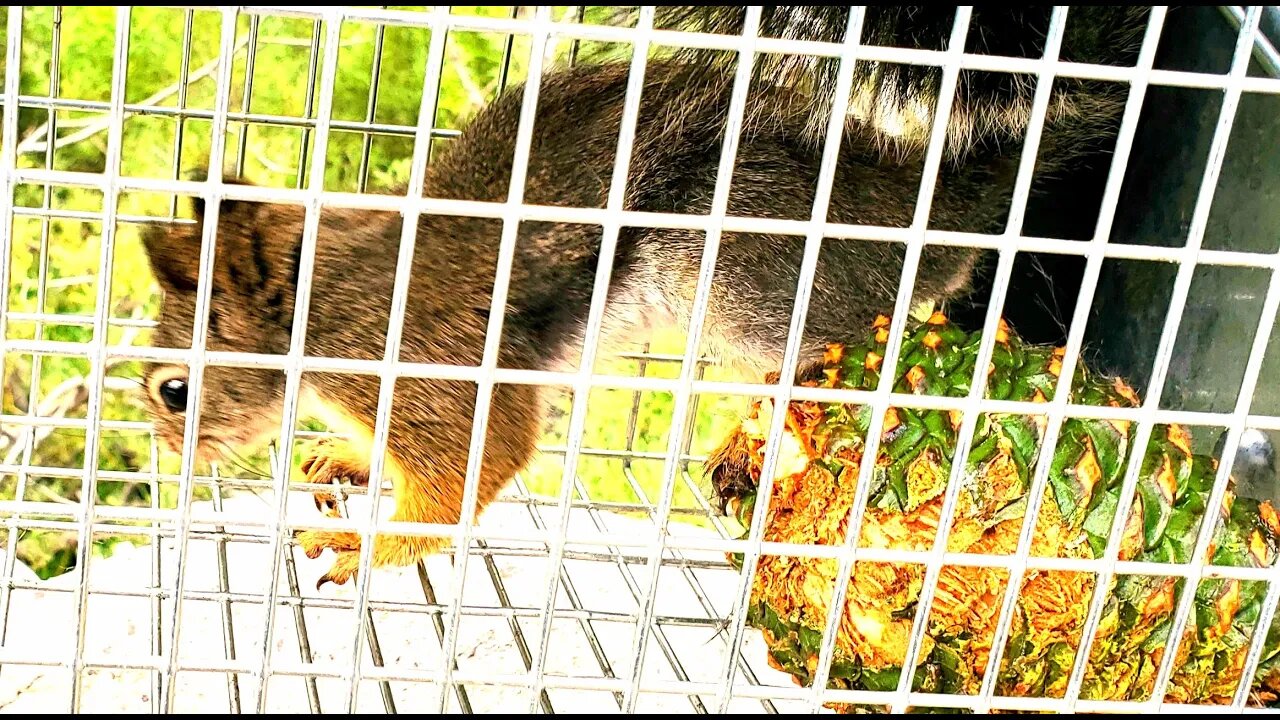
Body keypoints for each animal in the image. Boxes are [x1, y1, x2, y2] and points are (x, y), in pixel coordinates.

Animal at [137, 5, 1152, 586]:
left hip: (748, 280)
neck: (318, 300)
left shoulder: (425, 368)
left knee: (845, 342)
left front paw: (374, 546)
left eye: (172, 390)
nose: (164, 457)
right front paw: (351, 462)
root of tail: (938, 205)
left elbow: (476, 470)